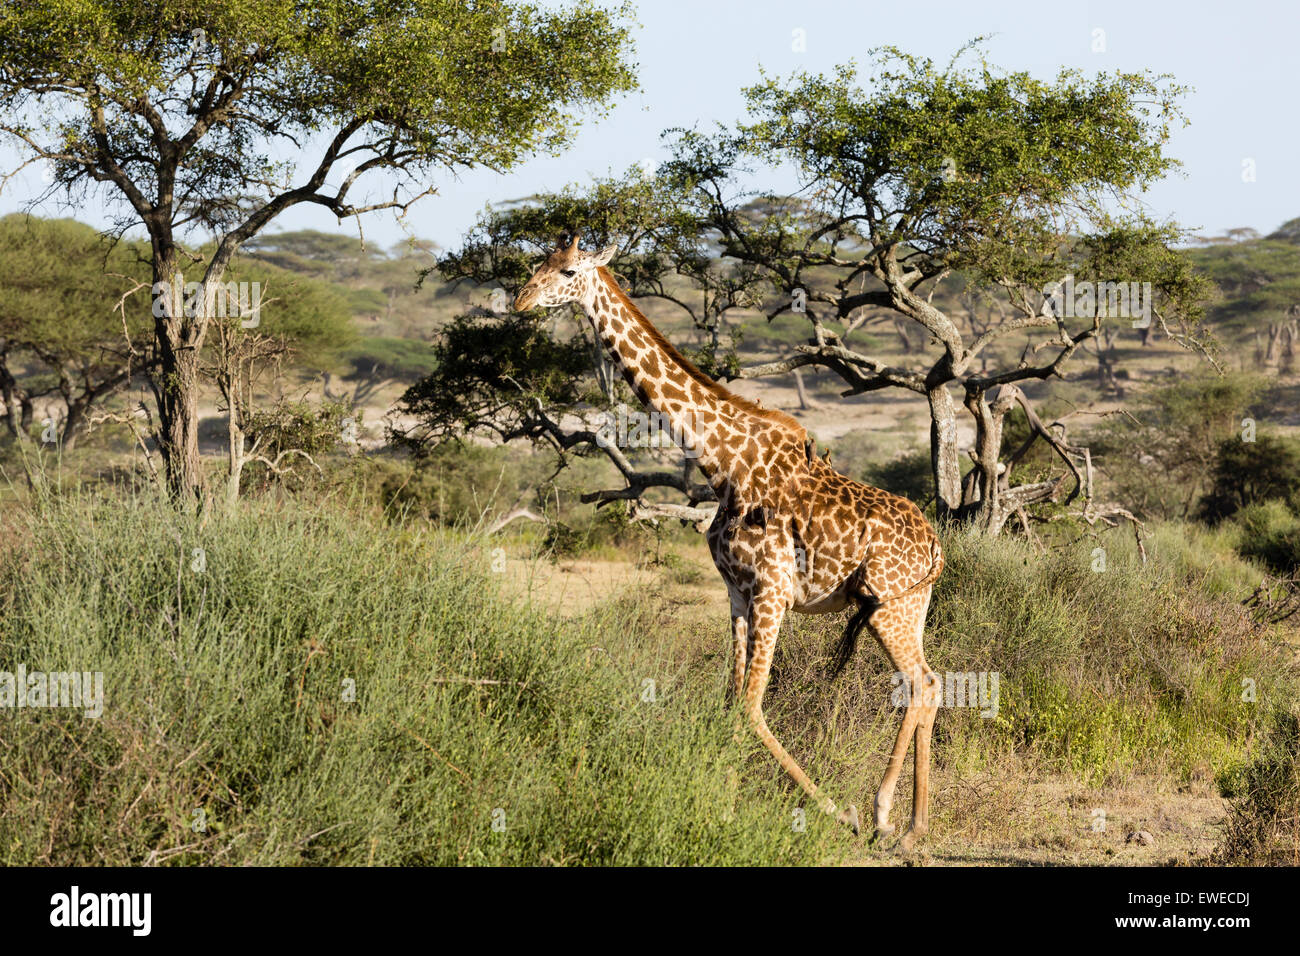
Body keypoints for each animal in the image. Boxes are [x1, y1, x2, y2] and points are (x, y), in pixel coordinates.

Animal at [514, 236, 945, 847]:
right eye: (539, 264)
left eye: (568, 271)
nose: (521, 301)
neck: (721, 463)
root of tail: (935, 546)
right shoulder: (737, 592)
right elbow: (730, 701)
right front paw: (724, 801)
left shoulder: (772, 591)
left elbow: (751, 705)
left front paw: (834, 811)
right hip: (908, 606)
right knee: (928, 682)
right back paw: (911, 823)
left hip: (892, 605)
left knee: (921, 684)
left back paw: (889, 818)